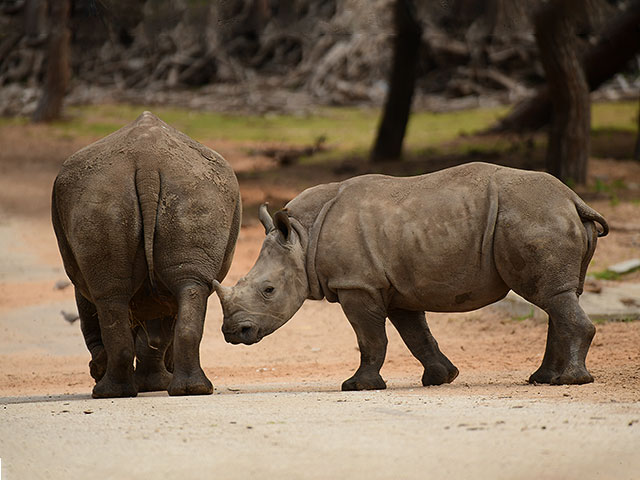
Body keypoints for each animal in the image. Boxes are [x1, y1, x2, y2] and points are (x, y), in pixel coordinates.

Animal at [52, 111, 241, 398]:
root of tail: (148, 165)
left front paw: (143, 382)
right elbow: (157, 332)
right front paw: (153, 384)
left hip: (109, 197)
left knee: (111, 297)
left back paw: (108, 392)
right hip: (195, 194)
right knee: (190, 286)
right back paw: (191, 389)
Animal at [214, 161, 604, 390]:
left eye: (268, 290)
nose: (233, 333)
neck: (302, 236)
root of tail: (574, 199)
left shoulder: (358, 284)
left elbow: (370, 339)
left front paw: (357, 386)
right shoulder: (397, 287)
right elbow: (417, 336)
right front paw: (440, 378)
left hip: (534, 216)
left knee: (550, 297)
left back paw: (571, 381)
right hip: (542, 216)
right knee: (558, 296)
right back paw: (543, 380)